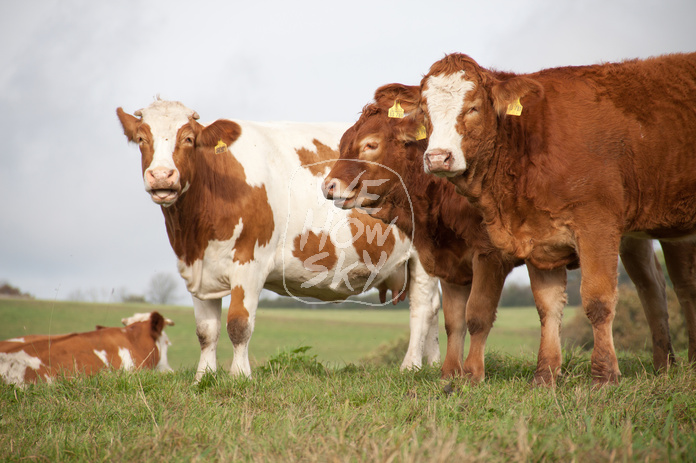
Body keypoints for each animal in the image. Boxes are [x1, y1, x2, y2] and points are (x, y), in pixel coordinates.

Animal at [116, 99, 438, 382]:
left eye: (188, 138)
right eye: (142, 138)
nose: (161, 176)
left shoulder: (250, 262)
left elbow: (238, 324)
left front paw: (240, 377)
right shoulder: (197, 269)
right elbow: (206, 331)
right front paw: (202, 378)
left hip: (423, 253)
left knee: (422, 307)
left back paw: (410, 366)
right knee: (434, 307)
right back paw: (433, 365)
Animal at [324, 84, 676, 388]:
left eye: (370, 144)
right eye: (342, 144)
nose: (328, 185)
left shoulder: (490, 256)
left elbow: (477, 315)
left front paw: (472, 374)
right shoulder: (450, 262)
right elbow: (454, 320)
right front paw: (449, 374)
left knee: (651, 288)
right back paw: (664, 363)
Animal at [418, 50, 696, 386]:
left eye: (473, 107)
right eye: (424, 110)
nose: (437, 158)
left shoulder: (597, 226)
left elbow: (598, 300)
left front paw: (604, 374)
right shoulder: (540, 237)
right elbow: (547, 307)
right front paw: (546, 374)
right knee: (659, 285)